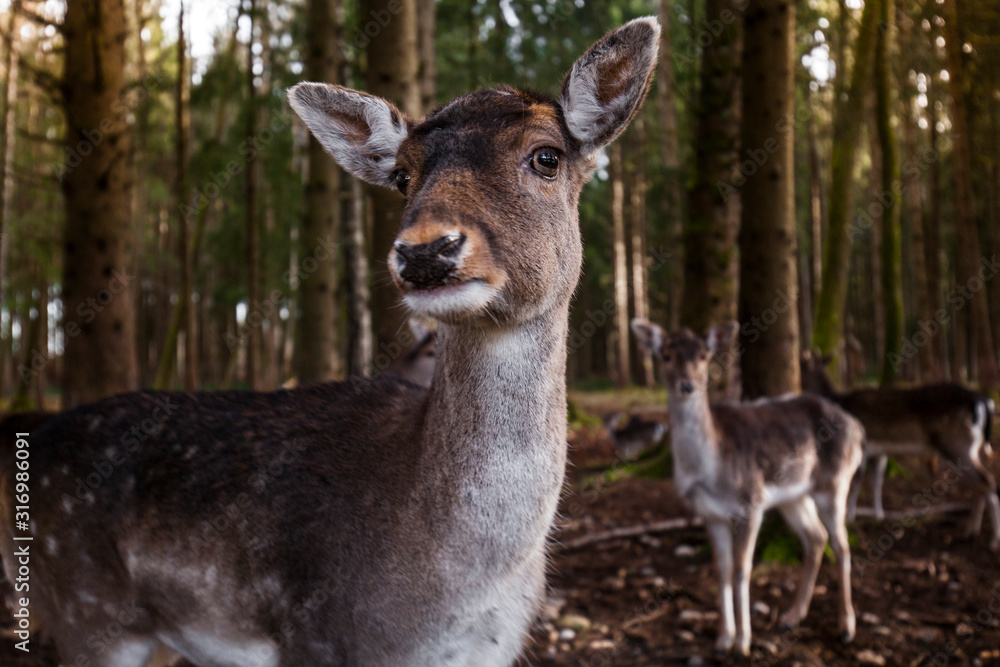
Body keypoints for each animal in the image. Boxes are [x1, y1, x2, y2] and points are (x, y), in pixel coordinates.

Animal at [628, 320, 864, 656]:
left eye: (703, 355)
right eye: (666, 355)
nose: (687, 386)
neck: (709, 472)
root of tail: (858, 428)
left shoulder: (751, 503)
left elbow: (742, 569)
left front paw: (743, 642)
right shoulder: (709, 514)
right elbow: (723, 568)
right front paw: (722, 639)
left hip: (834, 482)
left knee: (841, 545)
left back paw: (846, 627)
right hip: (793, 496)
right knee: (816, 537)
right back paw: (790, 617)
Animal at [796, 352, 1000, 552]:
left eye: (802, 366)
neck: (838, 401)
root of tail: (983, 401)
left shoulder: (862, 446)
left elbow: (857, 481)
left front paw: (850, 517)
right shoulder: (880, 451)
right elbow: (877, 481)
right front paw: (878, 515)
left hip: (956, 442)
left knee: (986, 480)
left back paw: (993, 541)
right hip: (971, 447)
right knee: (978, 484)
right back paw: (969, 532)